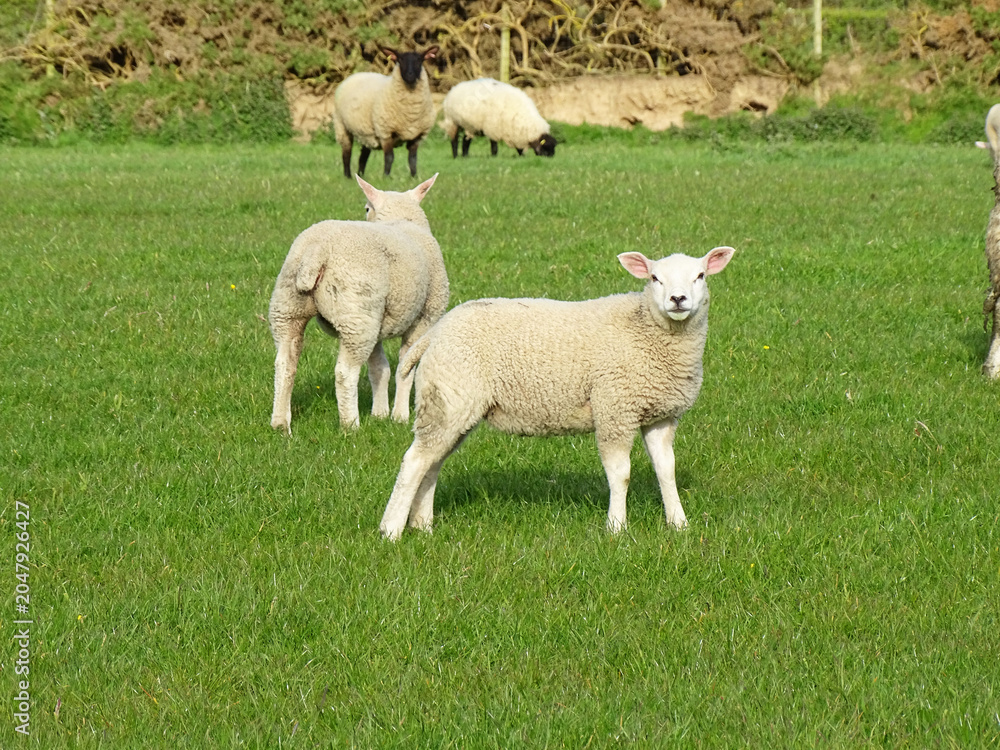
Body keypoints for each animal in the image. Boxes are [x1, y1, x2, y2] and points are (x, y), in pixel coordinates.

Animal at [268, 172, 448, 434]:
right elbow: (404, 369)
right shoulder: (425, 318)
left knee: (284, 363)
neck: (400, 219)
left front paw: (380, 414)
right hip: (357, 315)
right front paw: (399, 416)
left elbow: (379, 368)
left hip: (290, 306)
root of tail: (317, 250)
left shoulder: (378, 324)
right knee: (345, 373)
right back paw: (350, 425)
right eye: (366, 208)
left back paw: (281, 423)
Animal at [332, 46, 439, 179]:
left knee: (363, 157)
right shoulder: (385, 132)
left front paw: (414, 177)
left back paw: (361, 176)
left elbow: (413, 159)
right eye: (400, 60)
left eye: (420, 60)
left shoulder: (417, 136)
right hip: (341, 126)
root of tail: (356, 74)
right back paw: (348, 176)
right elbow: (389, 157)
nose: (410, 75)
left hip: (367, 132)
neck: (411, 113)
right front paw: (386, 177)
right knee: (346, 154)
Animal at [379, 246, 736, 541]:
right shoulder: (614, 410)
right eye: (654, 278)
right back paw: (391, 530)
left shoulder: (660, 416)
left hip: (451, 403)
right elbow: (620, 474)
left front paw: (679, 523)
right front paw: (616, 527)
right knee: (414, 461)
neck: (647, 331)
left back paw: (422, 525)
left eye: (700, 276)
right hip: (450, 397)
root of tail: (435, 333)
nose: (678, 299)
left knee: (432, 463)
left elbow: (666, 470)